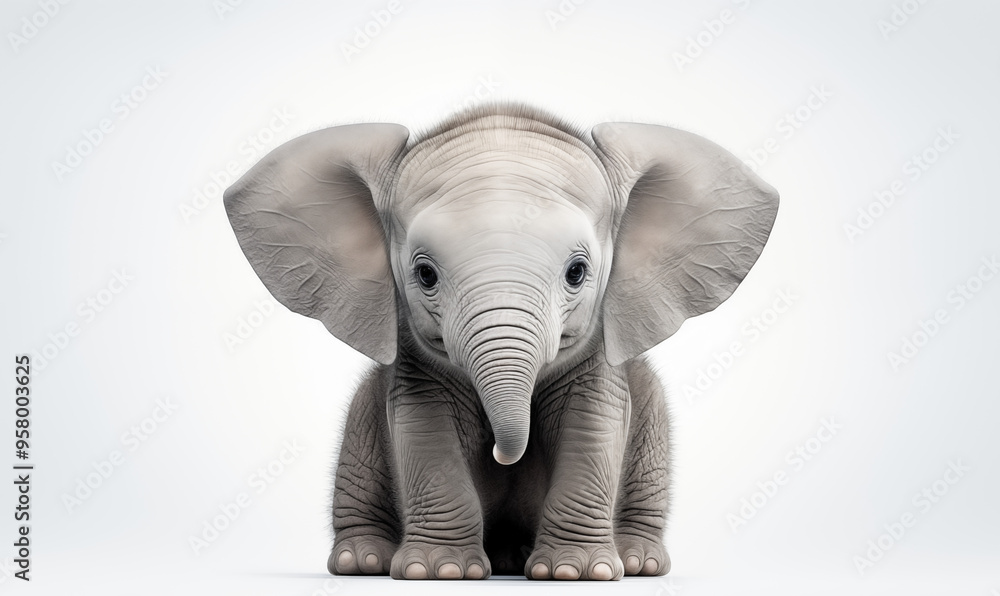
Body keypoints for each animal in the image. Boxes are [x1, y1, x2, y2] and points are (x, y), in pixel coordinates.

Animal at [223, 104, 778, 581]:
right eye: (424, 274)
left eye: (577, 272)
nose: (500, 451)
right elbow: (425, 430)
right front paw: (438, 572)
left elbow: (591, 426)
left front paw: (577, 573)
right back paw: (366, 561)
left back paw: (633, 562)